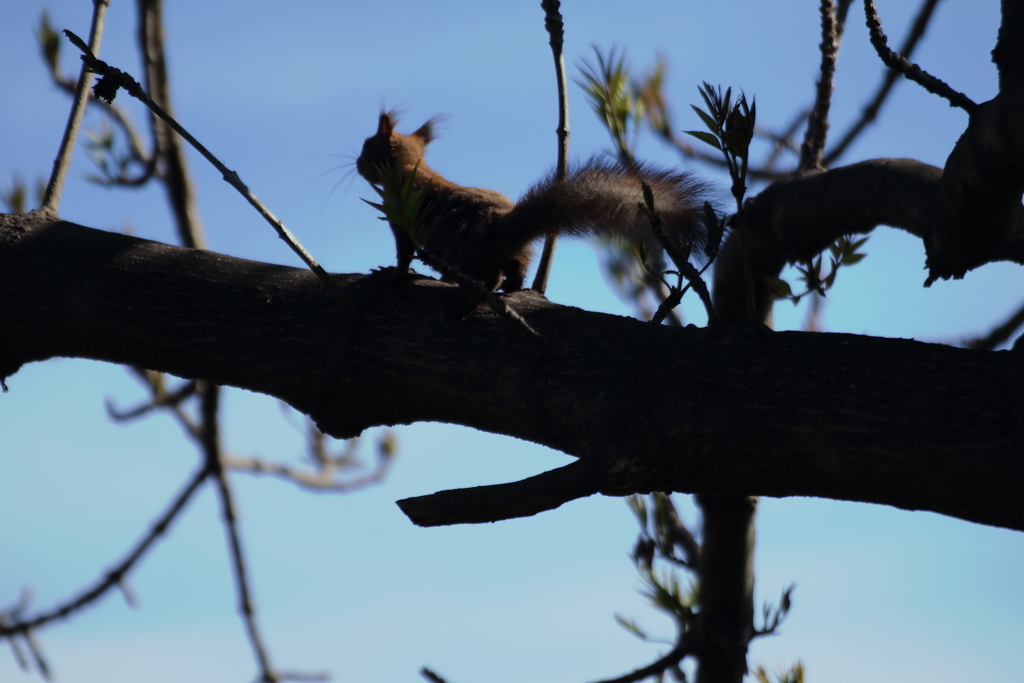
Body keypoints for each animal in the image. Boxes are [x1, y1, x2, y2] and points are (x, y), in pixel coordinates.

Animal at [358, 111, 712, 292]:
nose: (358, 165)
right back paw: (512, 287)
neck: (408, 169)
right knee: (514, 271)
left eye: (366, 145)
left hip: (463, 252)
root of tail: (499, 231)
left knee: (490, 275)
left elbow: (404, 251)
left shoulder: (400, 215)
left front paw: (393, 273)